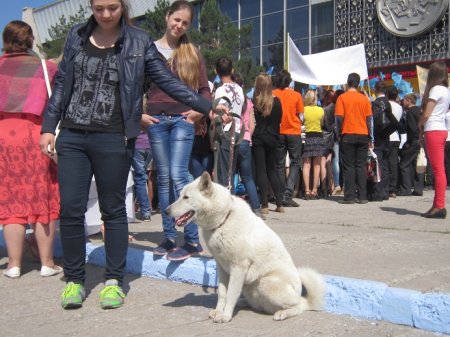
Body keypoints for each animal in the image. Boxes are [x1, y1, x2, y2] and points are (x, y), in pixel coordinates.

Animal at [167, 172, 326, 322]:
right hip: (249, 287)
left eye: (186, 197)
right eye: (180, 196)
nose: (166, 211)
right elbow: (222, 293)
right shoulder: (221, 268)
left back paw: (283, 313)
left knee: (297, 307)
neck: (224, 220)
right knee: (257, 304)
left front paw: (225, 316)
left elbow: (231, 293)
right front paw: (219, 311)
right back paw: (243, 303)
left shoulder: (238, 268)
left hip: (266, 283)